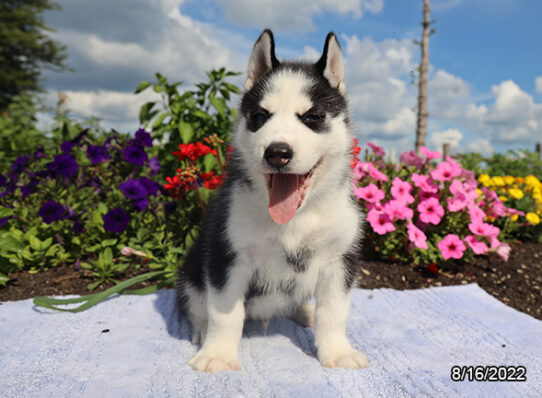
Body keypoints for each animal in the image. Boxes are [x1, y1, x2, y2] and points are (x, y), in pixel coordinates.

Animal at [178, 29, 370, 372]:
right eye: (259, 116)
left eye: (312, 117)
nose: (277, 153)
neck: (298, 216)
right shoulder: (227, 256)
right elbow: (225, 314)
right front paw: (219, 354)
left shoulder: (339, 259)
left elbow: (334, 312)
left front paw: (337, 351)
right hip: (191, 267)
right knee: (197, 303)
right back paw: (201, 329)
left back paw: (305, 312)